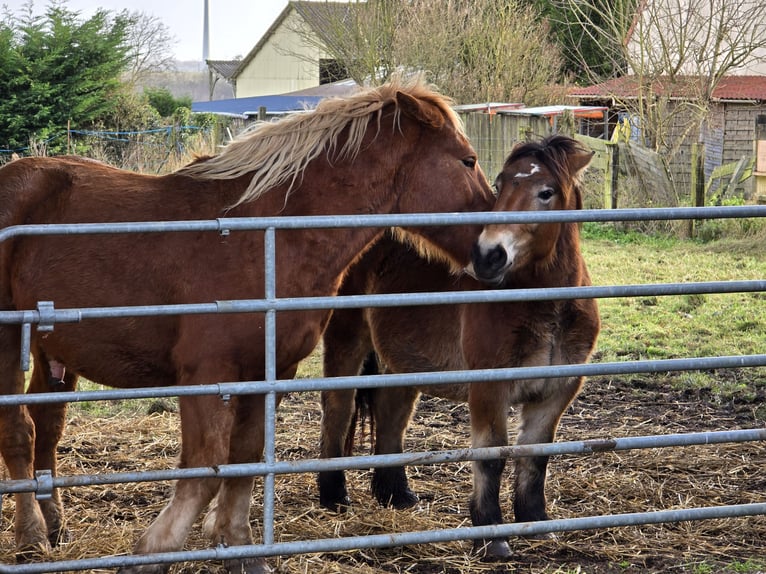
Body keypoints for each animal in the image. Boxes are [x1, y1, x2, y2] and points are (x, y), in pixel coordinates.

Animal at [0, 77, 496, 574]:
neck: (267, 236)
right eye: (467, 160)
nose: (495, 253)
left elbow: (246, 458)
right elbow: (206, 467)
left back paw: (54, 523)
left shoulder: (267, 372)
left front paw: (239, 547)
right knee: (19, 432)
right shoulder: (207, 375)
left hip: (52, 349)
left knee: (46, 425)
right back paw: (31, 538)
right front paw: (152, 553)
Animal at [318, 134, 600, 560]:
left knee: (392, 414)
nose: (487, 256)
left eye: (546, 192)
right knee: (339, 410)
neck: (543, 302)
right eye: (500, 185)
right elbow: (492, 457)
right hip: (346, 341)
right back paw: (333, 495)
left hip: (402, 363)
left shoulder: (556, 392)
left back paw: (395, 493)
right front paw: (491, 534)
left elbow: (535, 456)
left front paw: (535, 523)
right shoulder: (489, 391)